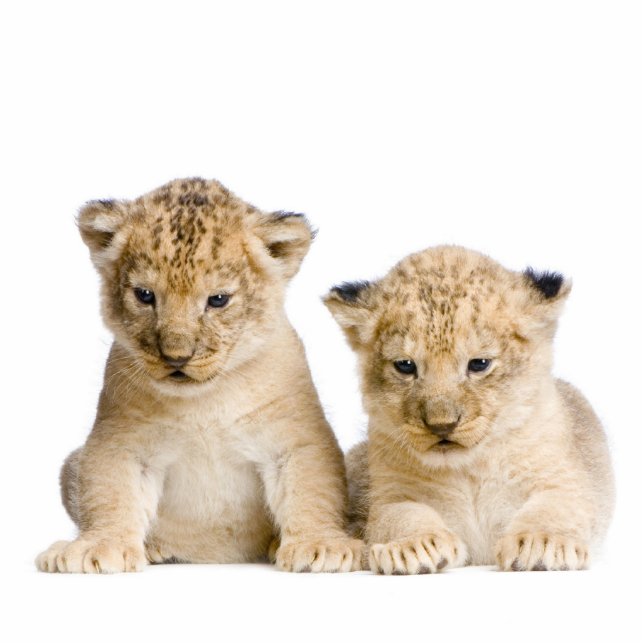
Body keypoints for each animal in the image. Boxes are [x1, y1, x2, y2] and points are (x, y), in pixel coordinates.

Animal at [36, 178, 362, 573]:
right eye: (145, 295)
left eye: (218, 300)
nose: (177, 356)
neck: (204, 401)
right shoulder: (120, 438)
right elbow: (109, 491)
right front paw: (98, 546)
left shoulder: (296, 437)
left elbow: (312, 489)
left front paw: (321, 545)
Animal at [324, 245, 614, 573]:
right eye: (405, 366)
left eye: (479, 364)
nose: (442, 425)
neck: (469, 470)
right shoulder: (389, 495)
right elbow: (401, 515)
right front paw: (415, 547)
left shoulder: (565, 482)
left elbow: (556, 507)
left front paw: (541, 543)